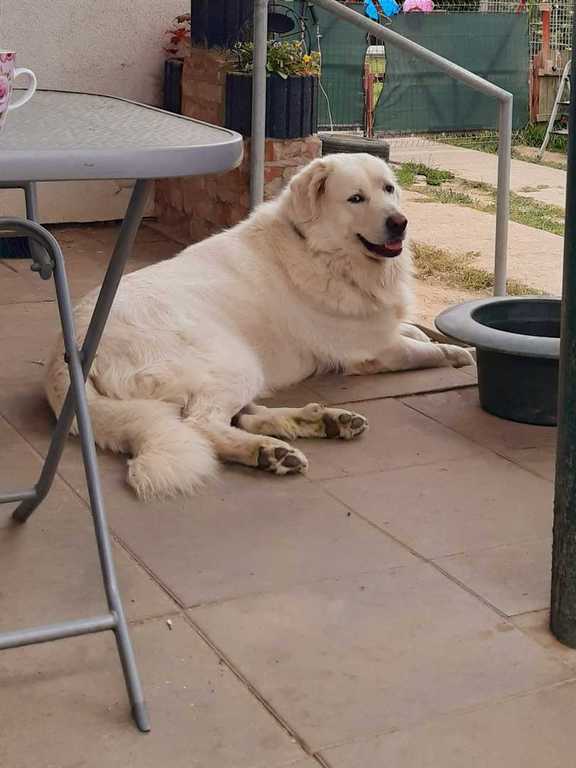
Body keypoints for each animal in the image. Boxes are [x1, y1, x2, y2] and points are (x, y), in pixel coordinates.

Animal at [45, 153, 473, 500]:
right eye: (356, 198)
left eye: (389, 189)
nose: (400, 223)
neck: (320, 251)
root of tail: (69, 351)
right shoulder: (375, 350)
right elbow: (429, 351)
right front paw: (463, 354)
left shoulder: (381, 330)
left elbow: (415, 332)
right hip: (233, 359)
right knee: (202, 424)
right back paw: (266, 450)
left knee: (241, 415)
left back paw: (315, 426)